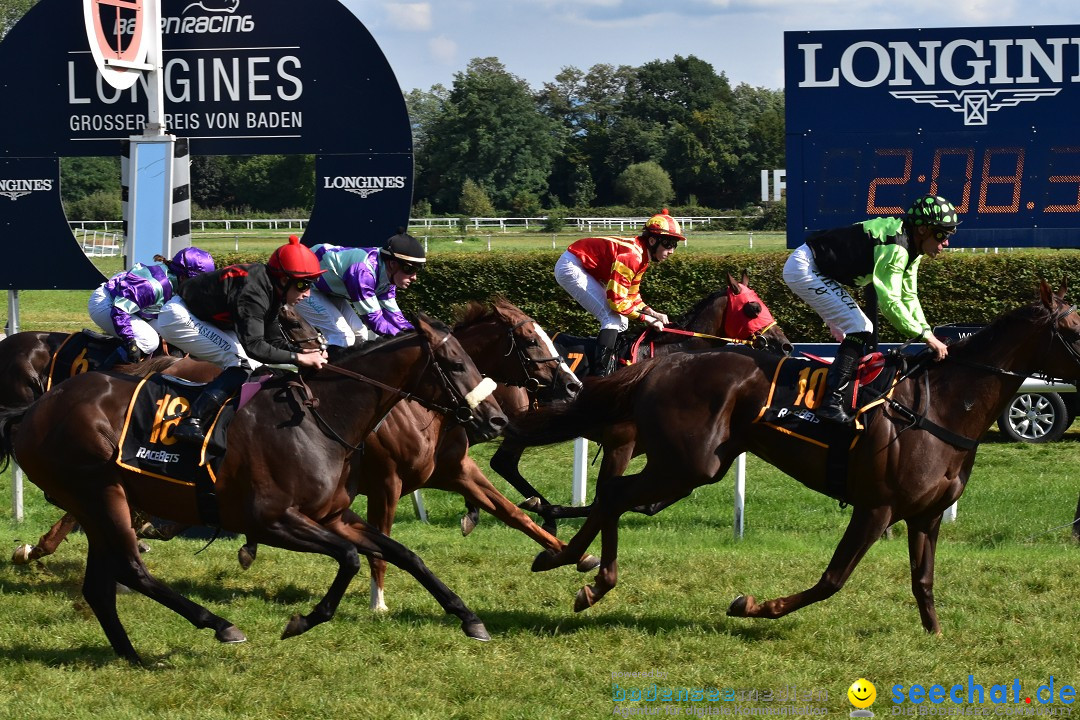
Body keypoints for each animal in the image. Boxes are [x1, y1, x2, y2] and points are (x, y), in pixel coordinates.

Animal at [0, 315, 505, 664]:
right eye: (455, 363)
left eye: (471, 358)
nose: (497, 420)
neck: (321, 417)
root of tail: (36, 409)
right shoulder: (272, 519)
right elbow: (349, 558)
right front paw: (302, 621)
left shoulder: (335, 515)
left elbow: (404, 554)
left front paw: (470, 618)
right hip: (101, 495)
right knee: (131, 570)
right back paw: (219, 625)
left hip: (98, 504)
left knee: (101, 587)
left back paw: (132, 655)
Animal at [481, 273, 794, 533]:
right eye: (753, 307)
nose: (784, 344)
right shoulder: (621, 442)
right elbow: (603, 495)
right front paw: (556, 512)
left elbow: (667, 493)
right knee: (502, 462)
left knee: (504, 463)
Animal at [509, 278, 1080, 634]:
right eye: (1073, 329)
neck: (941, 405)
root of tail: (663, 366)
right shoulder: (876, 508)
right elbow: (831, 580)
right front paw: (753, 605)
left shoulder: (927, 515)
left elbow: (923, 582)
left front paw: (937, 638)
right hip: (686, 463)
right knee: (613, 492)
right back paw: (575, 564)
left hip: (689, 464)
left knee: (613, 494)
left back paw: (569, 558)